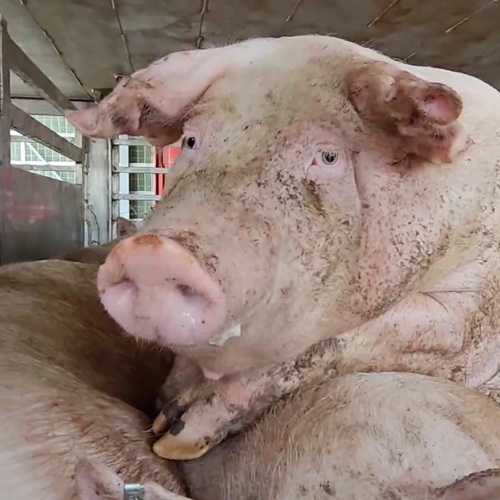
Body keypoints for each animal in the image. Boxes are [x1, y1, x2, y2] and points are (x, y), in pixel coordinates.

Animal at [63, 33, 500, 458]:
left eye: (328, 156)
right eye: (190, 140)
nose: (154, 254)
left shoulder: (460, 321)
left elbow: (324, 346)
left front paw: (174, 438)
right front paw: (162, 413)